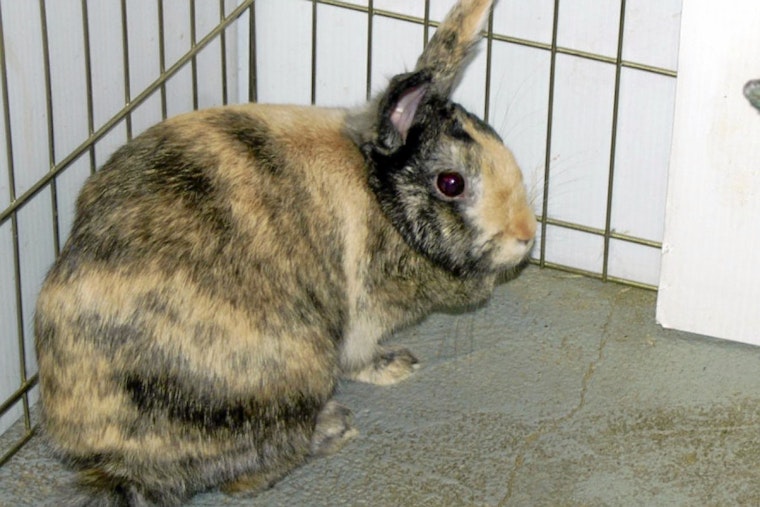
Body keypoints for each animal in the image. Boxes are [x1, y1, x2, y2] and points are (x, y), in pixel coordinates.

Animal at [34, 0, 536, 504]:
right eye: (451, 183)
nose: (527, 235)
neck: (380, 195)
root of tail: (115, 462)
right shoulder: (360, 319)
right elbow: (359, 357)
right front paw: (395, 367)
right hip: (295, 372)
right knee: (249, 475)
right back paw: (333, 428)